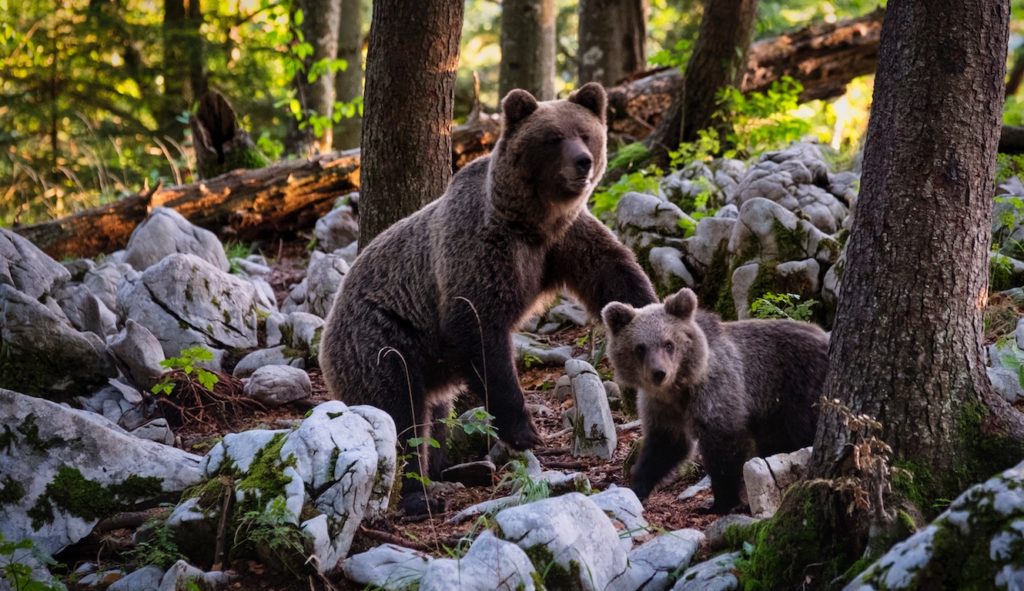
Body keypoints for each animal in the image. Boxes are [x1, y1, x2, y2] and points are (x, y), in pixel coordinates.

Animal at [319, 83, 657, 514]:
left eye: (585, 134)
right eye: (553, 138)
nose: (582, 162)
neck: (532, 222)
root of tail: (329, 324)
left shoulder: (565, 241)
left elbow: (614, 274)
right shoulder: (481, 250)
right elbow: (479, 329)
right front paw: (524, 430)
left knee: (435, 416)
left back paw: (455, 469)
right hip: (383, 341)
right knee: (400, 414)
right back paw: (419, 494)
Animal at [601, 287, 828, 514]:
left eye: (668, 344)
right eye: (640, 347)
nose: (659, 373)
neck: (679, 388)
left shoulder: (717, 390)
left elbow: (723, 446)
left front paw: (720, 503)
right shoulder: (661, 407)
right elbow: (665, 446)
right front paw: (636, 488)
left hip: (801, 389)